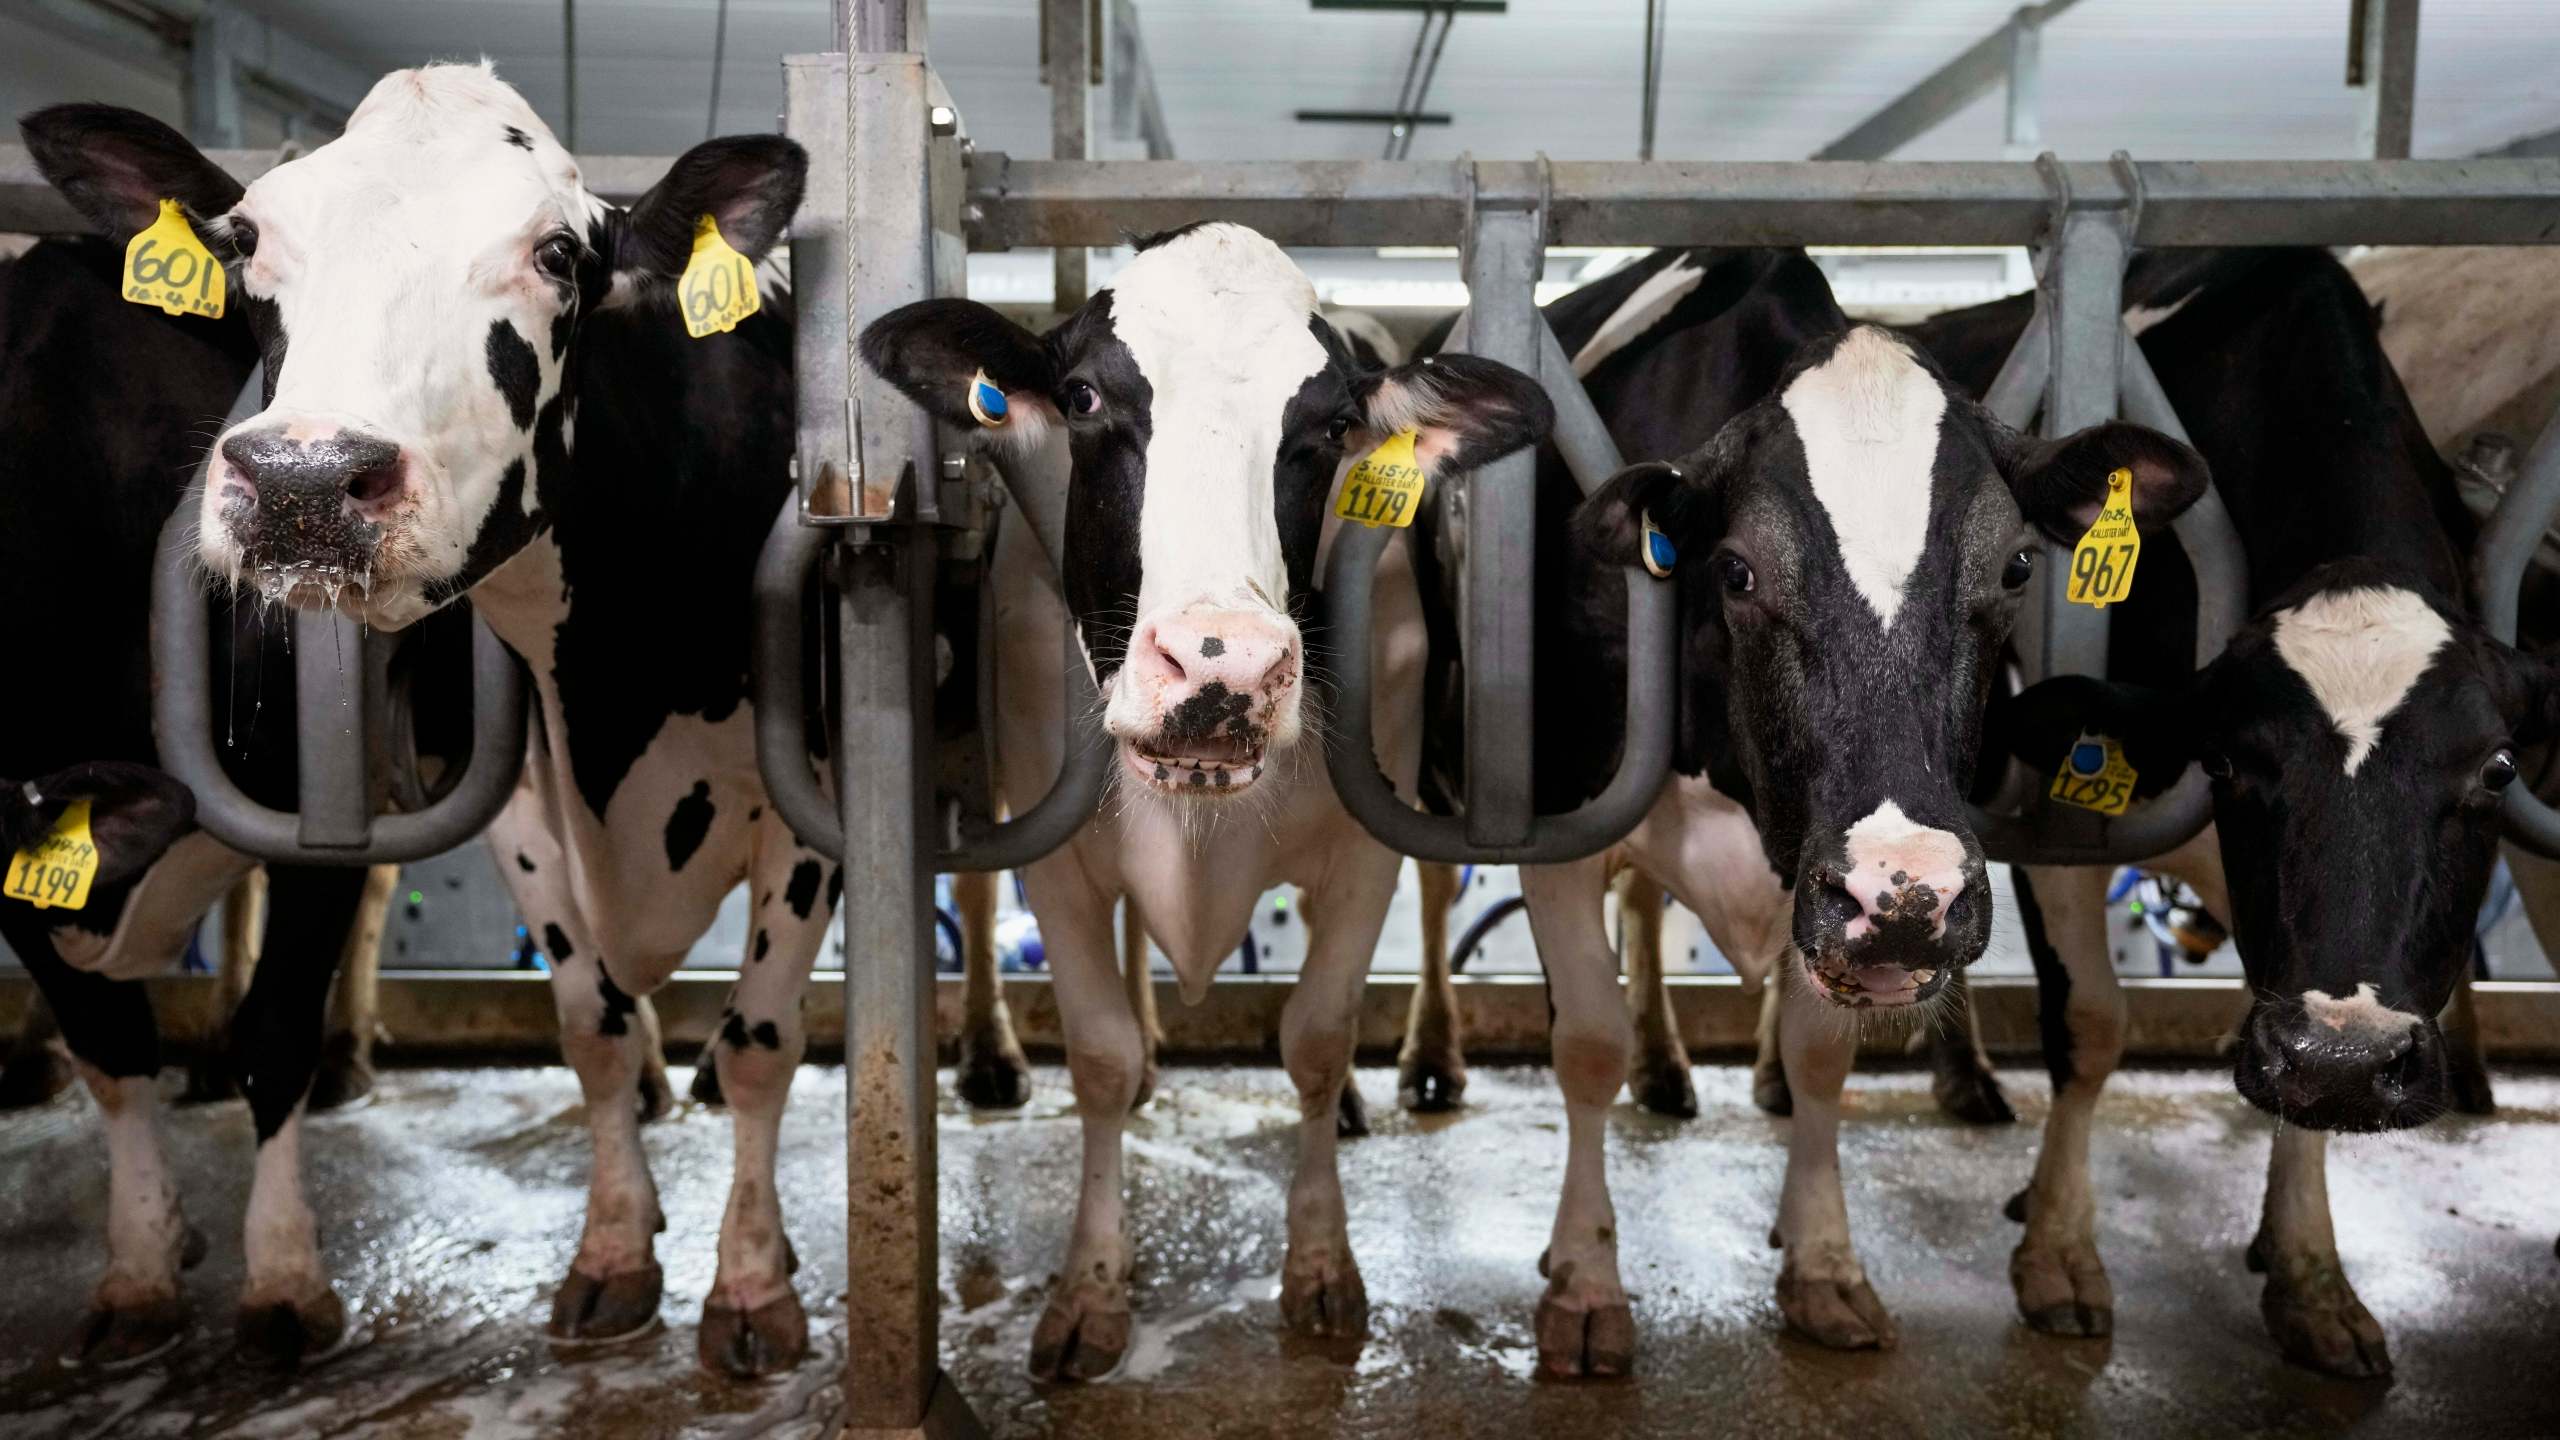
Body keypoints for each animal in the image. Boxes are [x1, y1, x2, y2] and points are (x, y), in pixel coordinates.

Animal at [24, 61, 844, 1373]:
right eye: (248, 239)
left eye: (558, 252)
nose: (305, 481)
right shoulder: (516, 795)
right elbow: (588, 1025)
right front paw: (614, 1252)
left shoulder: (807, 791)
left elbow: (764, 1040)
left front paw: (753, 1287)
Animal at [860, 219, 1546, 1373]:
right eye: (1084, 396)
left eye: (1332, 426)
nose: (1223, 666)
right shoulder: (1059, 858)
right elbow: (1095, 1054)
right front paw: (1090, 1292)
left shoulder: (1364, 854)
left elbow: (1315, 1036)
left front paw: (1321, 1269)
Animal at [1402, 245, 2201, 1363]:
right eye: (1736, 571)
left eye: (2015, 568)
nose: (1910, 895)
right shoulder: (1554, 811)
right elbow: (1585, 1041)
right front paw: (1586, 1285)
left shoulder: (1828, 901)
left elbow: (1820, 1056)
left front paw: (1822, 1262)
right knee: (1439, 892)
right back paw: (1433, 1060)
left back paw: (1669, 1068)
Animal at [1914, 243, 2549, 1363]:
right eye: (2231, 760)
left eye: (2498, 770)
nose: (2350, 1054)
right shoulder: (2056, 818)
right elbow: (2089, 1026)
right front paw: (2058, 1255)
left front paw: (2308, 1272)